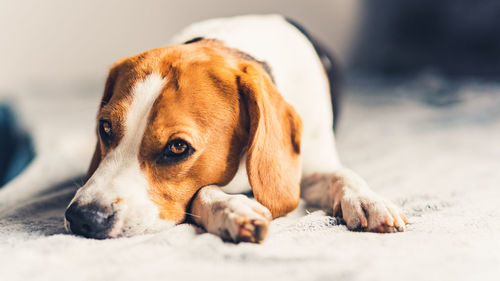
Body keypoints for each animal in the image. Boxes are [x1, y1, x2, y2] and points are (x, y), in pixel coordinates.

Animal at [63, 14, 406, 241]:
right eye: (105, 128)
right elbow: (202, 191)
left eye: (177, 147)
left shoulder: (308, 172)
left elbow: (343, 175)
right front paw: (230, 208)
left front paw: (367, 200)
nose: (82, 217)